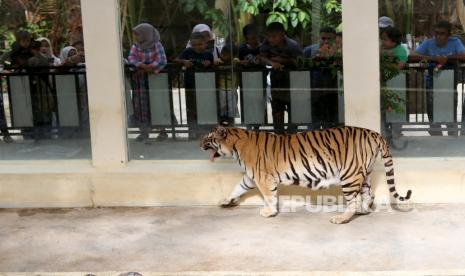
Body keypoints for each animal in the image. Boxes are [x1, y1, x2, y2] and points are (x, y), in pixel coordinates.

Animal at [198, 125, 410, 224]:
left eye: (208, 137)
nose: (199, 144)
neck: (235, 146)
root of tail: (374, 133)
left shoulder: (262, 177)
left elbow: (269, 196)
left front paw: (269, 212)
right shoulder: (250, 177)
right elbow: (237, 188)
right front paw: (225, 201)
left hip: (349, 175)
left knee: (352, 200)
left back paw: (342, 218)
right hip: (363, 173)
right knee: (369, 195)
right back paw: (362, 210)